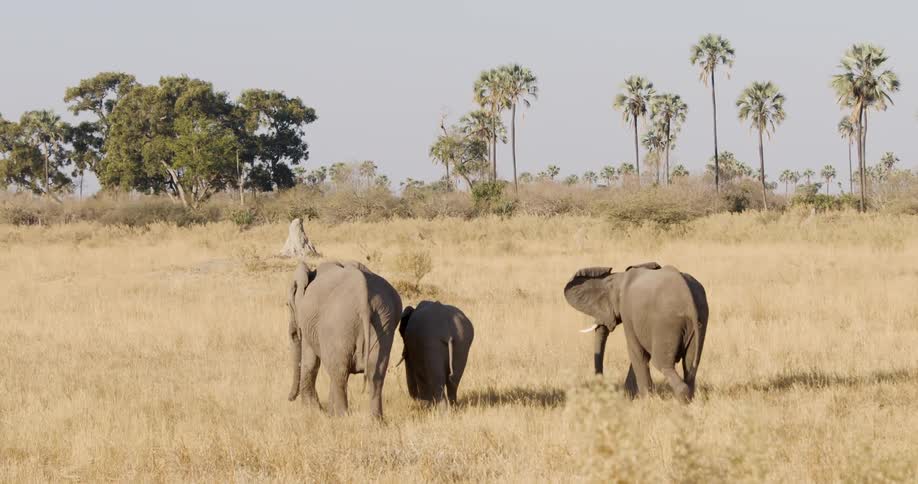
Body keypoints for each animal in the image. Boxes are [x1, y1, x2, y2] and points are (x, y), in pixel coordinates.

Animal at [286, 260, 402, 418]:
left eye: (288, 305)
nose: (289, 398)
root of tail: (363, 296)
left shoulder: (307, 322)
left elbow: (310, 362)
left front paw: (313, 410)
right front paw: (324, 412)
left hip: (338, 322)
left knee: (339, 372)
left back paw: (342, 417)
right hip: (384, 318)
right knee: (375, 372)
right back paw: (376, 420)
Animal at [563, 262, 708, 402]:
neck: (619, 278)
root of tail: (689, 299)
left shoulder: (627, 312)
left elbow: (637, 353)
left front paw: (646, 400)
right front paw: (630, 396)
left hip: (667, 322)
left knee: (662, 364)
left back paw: (681, 400)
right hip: (700, 319)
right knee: (690, 365)